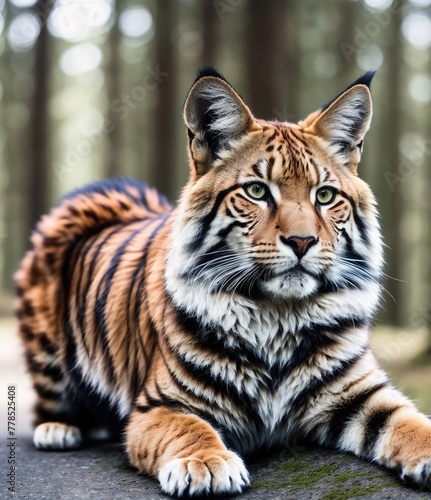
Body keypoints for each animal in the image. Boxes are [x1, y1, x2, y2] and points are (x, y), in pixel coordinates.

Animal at [15, 69, 431, 496]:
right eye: (257, 190)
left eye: (325, 196)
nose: (302, 241)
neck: (278, 315)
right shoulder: (160, 404)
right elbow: (189, 429)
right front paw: (206, 464)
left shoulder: (359, 391)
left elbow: (411, 422)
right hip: (47, 353)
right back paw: (59, 429)